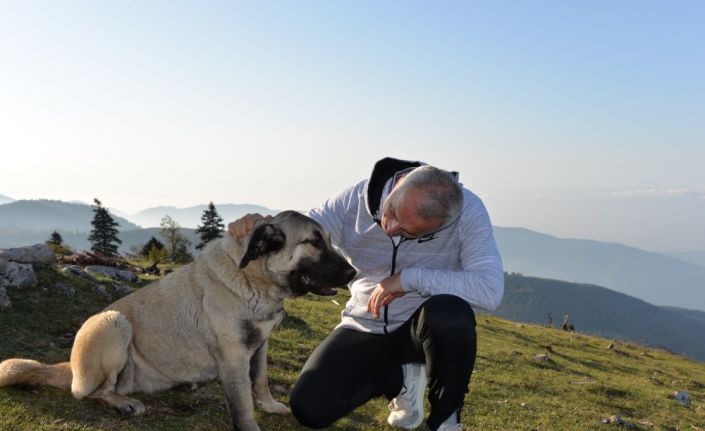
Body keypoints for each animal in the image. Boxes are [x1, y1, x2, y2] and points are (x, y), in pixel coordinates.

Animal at [0, 212, 352, 431]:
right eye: (314, 242)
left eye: (328, 239)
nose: (352, 272)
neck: (254, 277)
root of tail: (71, 367)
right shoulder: (234, 357)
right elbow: (242, 404)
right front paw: (252, 423)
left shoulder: (260, 344)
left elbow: (261, 380)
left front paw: (268, 405)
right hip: (113, 323)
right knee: (92, 391)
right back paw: (123, 403)